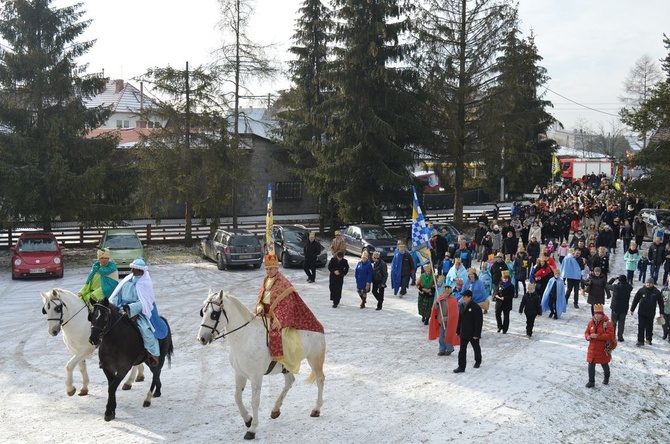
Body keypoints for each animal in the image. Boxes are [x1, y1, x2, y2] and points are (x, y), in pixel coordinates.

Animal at [197, 290, 328, 438]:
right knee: (290, 381)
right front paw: (247, 419)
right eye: (202, 312)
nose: (201, 338)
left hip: (314, 359)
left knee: (320, 380)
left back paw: (316, 409)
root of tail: (318, 326)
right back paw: (275, 410)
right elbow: (237, 397)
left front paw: (252, 429)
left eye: (214, 314)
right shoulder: (239, 373)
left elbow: (254, 402)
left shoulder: (256, 376)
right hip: (287, 366)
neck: (245, 339)